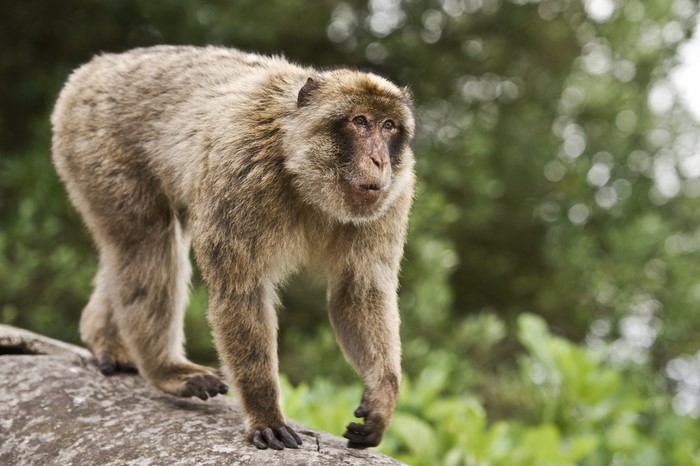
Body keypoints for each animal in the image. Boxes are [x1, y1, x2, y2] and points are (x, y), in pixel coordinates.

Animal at [50, 45, 415, 451]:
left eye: (388, 126)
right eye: (360, 121)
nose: (379, 160)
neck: (297, 163)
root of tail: (96, 66)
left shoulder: (393, 198)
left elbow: (359, 293)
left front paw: (382, 396)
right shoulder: (240, 172)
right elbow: (241, 292)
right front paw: (265, 414)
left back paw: (105, 340)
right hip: (93, 142)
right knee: (144, 240)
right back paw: (164, 369)